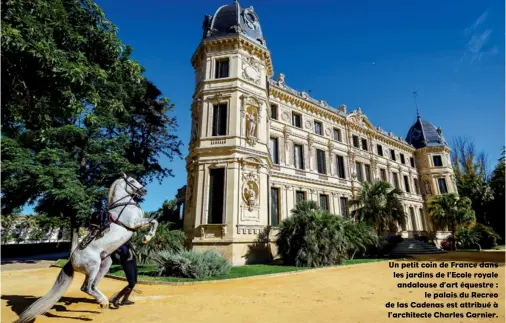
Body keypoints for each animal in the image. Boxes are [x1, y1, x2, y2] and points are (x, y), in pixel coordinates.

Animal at [15, 175, 158, 323]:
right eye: (132, 180)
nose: (145, 190)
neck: (123, 206)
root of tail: (71, 260)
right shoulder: (134, 223)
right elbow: (154, 221)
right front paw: (148, 237)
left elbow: (154, 221)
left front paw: (148, 236)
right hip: (93, 266)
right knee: (86, 287)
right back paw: (103, 302)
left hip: (104, 264)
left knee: (93, 285)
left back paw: (102, 302)